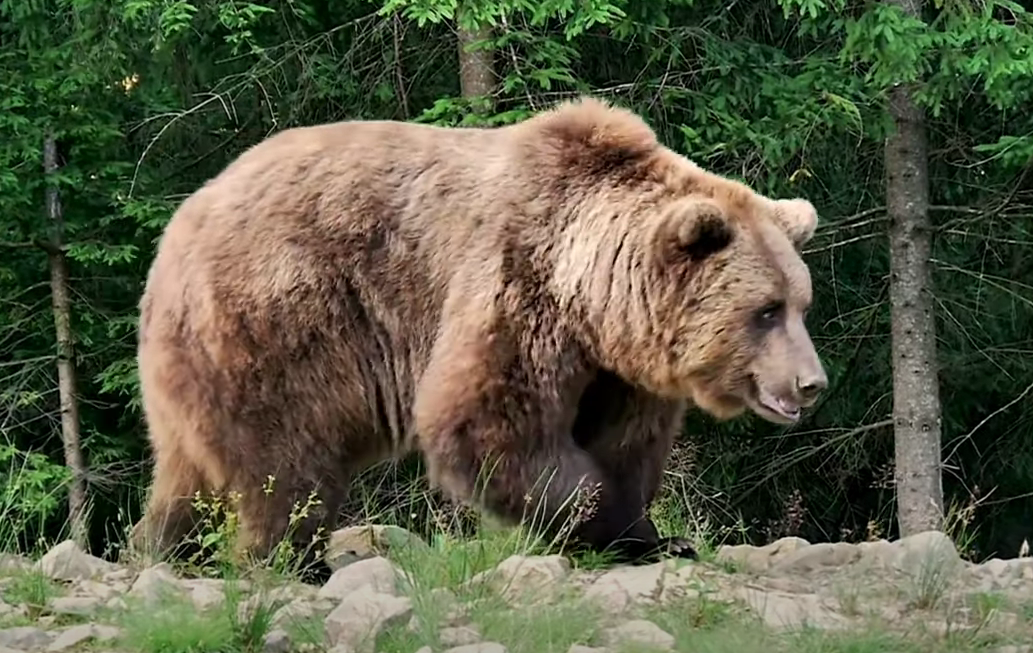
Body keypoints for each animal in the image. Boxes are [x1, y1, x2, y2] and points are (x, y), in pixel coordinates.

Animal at [129, 94, 826, 570]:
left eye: (801, 304)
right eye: (765, 310)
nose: (810, 383)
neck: (594, 297)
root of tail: (180, 224)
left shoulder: (619, 366)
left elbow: (627, 446)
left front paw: (653, 537)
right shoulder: (515, 286)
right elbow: (488, 423)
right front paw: (597, 523)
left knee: (187, 470)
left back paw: (164, 548)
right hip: (275, 318)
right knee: (287, 460)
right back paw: (294, 559)